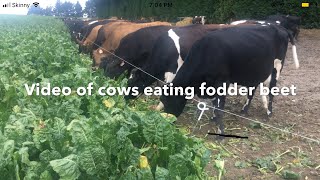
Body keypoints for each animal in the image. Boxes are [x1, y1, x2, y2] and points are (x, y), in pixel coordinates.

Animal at [160, 24, 300, 135]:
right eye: (163, 100)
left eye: (170, 101)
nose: (168, 123)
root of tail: (279, 27)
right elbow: (214, 103)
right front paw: (214, 119)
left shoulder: (222, 82)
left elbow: (220, 107)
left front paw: (220, 131)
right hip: (255, 70)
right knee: (252, 90)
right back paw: (244, 110)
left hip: (277, 66)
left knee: (272, 90)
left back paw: (269, 112)